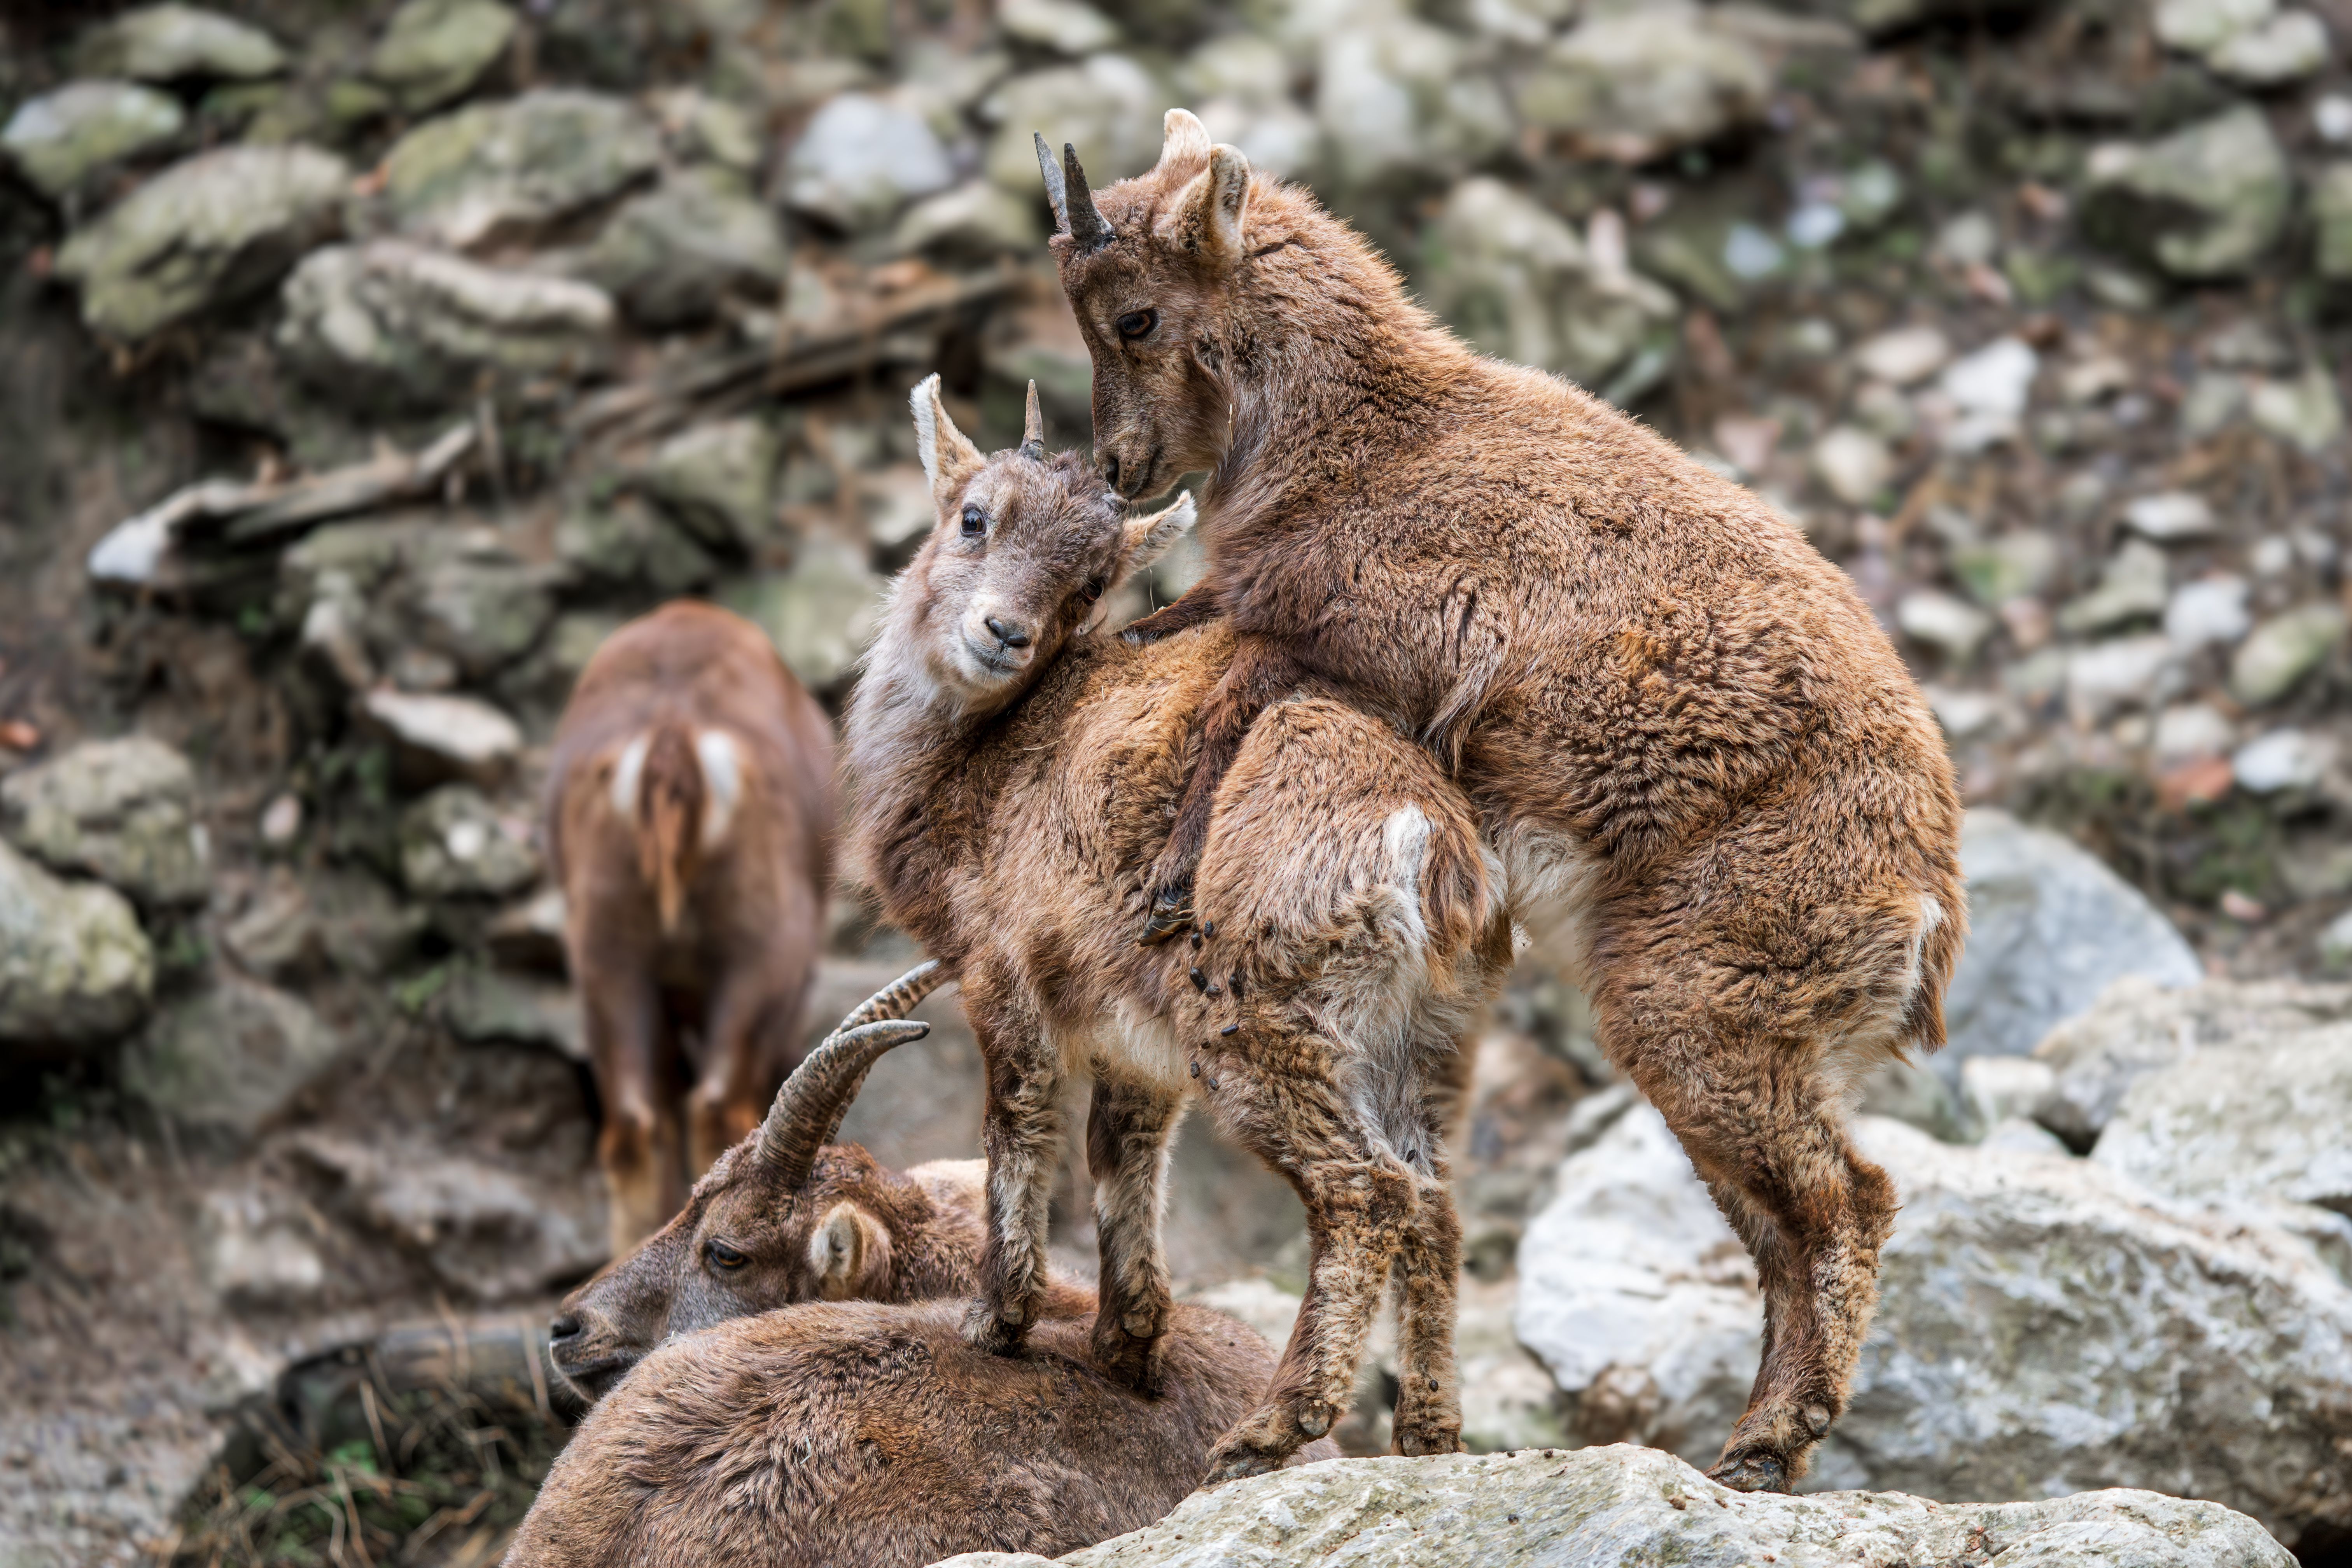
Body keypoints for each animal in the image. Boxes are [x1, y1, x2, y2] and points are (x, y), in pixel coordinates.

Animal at [843, 380, 1515, 1482]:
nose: (1004, 633)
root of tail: (1423, 837)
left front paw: (998, 1320)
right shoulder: (1134, 1040)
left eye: (1093, 583)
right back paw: (1427, 1436)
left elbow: (1018, 1129)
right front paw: (1127, 1345)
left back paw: (1272, 1428)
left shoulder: (1002, 975)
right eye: (974, 517)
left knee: (1366, 1192)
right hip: (1420, 1039)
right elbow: (1125, 1158)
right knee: (1435, 1203)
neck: (974, 766)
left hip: (1264, 1019)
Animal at [1032, 111, 1967, 1491]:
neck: (1366, 445)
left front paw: (1166, 881)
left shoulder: (1361, 640)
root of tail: (1927, 906)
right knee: (1781, 1222)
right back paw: (1757, 1445)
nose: (1122, 467)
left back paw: (1767, 1441)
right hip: (1733, 1040)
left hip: (1699, 1006)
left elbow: (1228, 706)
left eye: (1136, 315)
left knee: (1850, 1199)